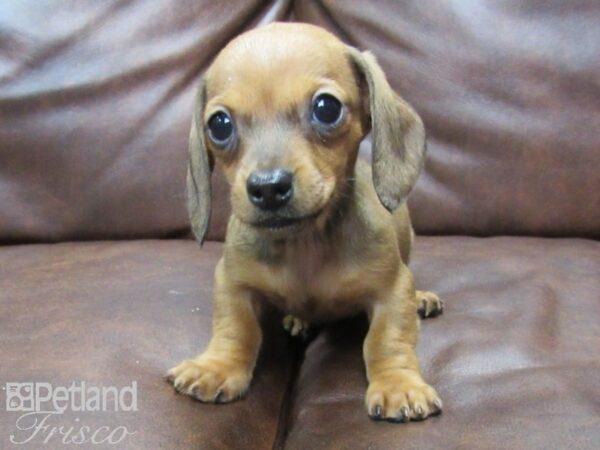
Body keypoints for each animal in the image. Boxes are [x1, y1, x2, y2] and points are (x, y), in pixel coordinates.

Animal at [166, 22, 442, 422]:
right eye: (219, 124)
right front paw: (217, 367)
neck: (305, 245)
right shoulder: (232, 282)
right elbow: (236, 328)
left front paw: (398, 384)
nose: (268, 187)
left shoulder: (391, 290)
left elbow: (387, 339)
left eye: (326, 108)